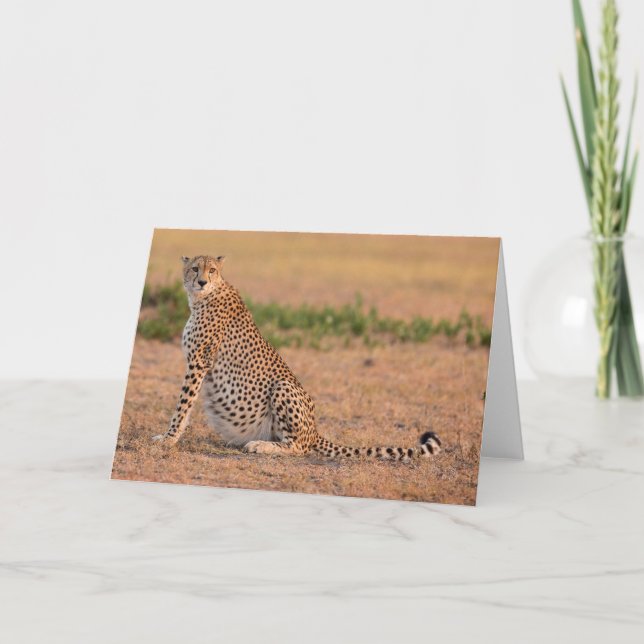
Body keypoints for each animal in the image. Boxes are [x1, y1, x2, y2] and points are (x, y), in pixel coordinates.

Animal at [152, 255, 442, 462]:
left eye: (211, 270)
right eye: (194, 269)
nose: (201, 281)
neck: (204, 296)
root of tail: (315, 430)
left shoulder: (198, 363)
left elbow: (182, 406)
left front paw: (168, 439)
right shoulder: (198, 364)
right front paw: (168, 438)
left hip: (283, 387)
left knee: (299, 447)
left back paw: (261, 446)